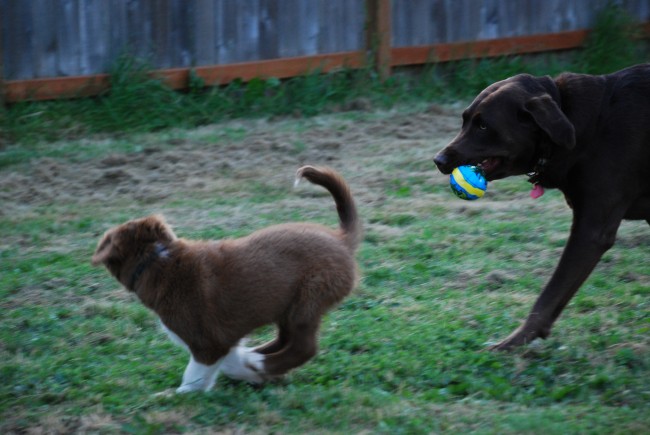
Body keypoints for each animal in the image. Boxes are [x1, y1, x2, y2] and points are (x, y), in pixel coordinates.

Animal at [92, 166, 362, 392]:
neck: (156, 259)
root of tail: (341, 239)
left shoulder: (206, 342)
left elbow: (194, 376)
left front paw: (174, 395)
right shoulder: (223, 339)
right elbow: (228, 360)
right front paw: (248, 371)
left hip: (308, 299)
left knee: (304, 347)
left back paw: (259, 361)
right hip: (287, 306)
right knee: (285, 339)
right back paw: (257, 355)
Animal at [433, 64, 650, 350]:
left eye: (483, 125)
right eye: (465, 120)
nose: (438, 160)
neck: (585, 128)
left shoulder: (592, 230)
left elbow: (551, 293)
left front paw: (515, 341)